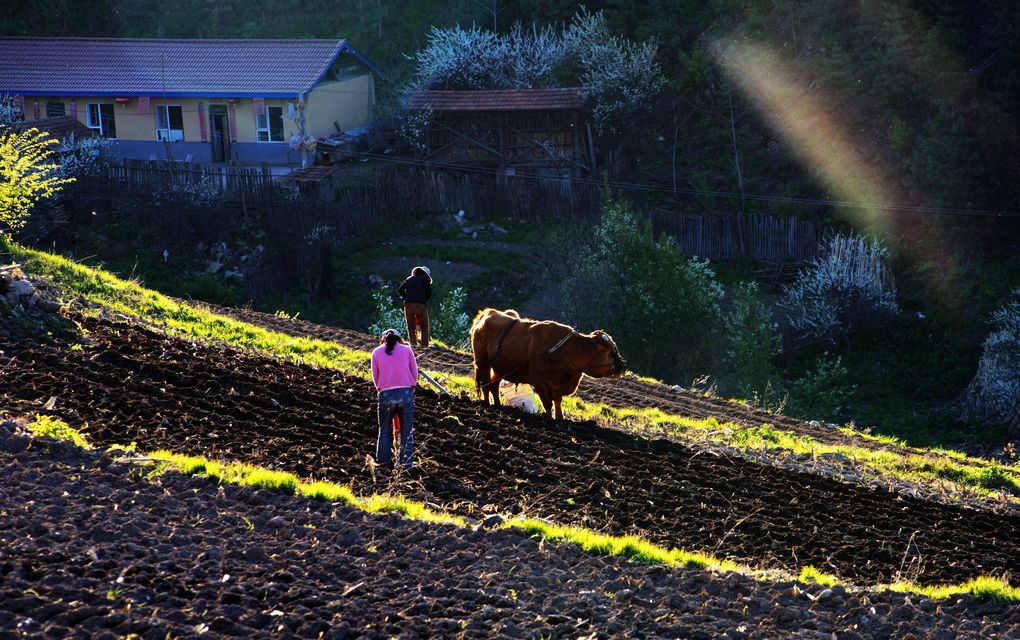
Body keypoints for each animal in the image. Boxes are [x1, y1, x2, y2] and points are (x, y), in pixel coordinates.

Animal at [467, 308, 624, 420]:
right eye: (611, 351)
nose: (623, 366)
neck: (568, 349)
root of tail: (488, 313)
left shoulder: (557, 384)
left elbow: (557, 401)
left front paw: (560, 418)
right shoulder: (539, 381)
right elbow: (548, 403)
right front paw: (549, 418)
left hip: (500, 368)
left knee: (494, 385)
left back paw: (498, 405)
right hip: (483, 362)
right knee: (486, 384)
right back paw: (487, 404)